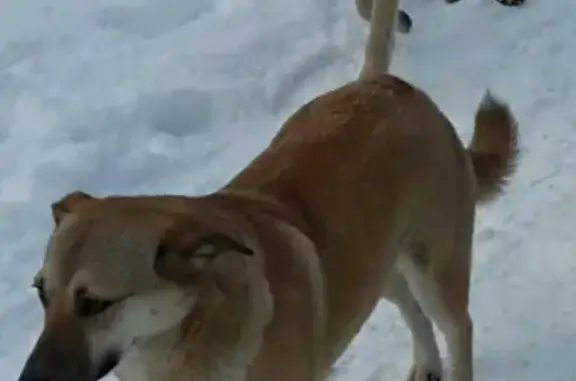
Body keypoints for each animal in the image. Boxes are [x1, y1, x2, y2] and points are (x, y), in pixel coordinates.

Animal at [15, 0, 516, 380]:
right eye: (41, 293)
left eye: (94, 302)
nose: (30, 379)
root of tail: (380, 83)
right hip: (377, 264)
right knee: (411, 309)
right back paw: (427, 363)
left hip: (436, 266)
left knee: (457, 326)